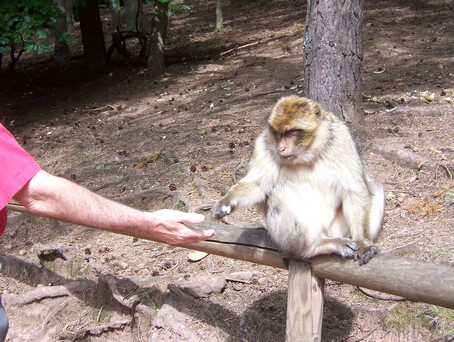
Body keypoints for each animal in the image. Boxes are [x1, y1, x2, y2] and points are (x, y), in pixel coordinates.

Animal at [212, 95, 384, 266]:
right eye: (279, 133)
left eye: (291, 132)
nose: (281, 147)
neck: (307, 154)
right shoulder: (263, 145)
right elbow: (258, 185)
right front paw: (226, 203)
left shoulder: (340, 139)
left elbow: (353, 189)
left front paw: (362, 241)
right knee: (282, 191)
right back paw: (315, 246)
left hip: (338, 227)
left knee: (376, 188)